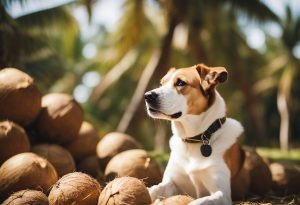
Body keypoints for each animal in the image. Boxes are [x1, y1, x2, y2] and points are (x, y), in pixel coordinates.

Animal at [144, 64, 245, 205]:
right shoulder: (172, 182)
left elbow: (201, 201)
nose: (147, 96)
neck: (193, 140)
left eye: (181, 83)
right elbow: (153, 189)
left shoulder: (223, 194)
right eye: (161, 83)